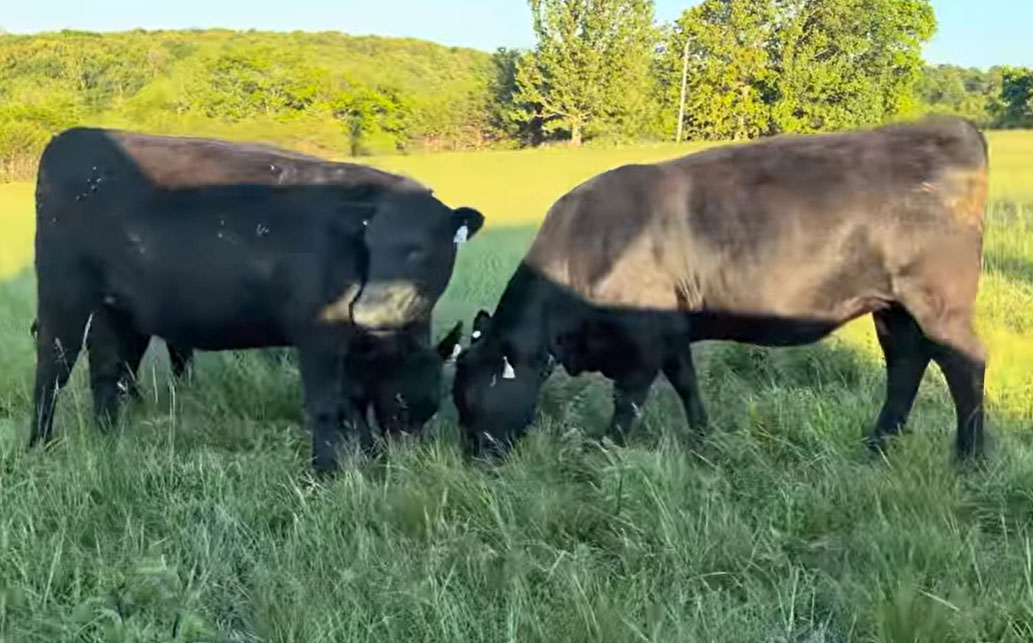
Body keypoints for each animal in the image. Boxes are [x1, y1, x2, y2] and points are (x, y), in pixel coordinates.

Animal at [453, 115, 989, 462]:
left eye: (473, 399)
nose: (475, 460)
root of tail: (953, 127)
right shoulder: (671, 332)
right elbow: (687, 383)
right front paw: (704, 440)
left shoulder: (642, 342)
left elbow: (628, 401)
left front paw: (605, 453)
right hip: (893, 307)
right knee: (906, 364)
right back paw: (877, 446)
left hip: (939, 304)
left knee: (965, 365)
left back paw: (969, 459)